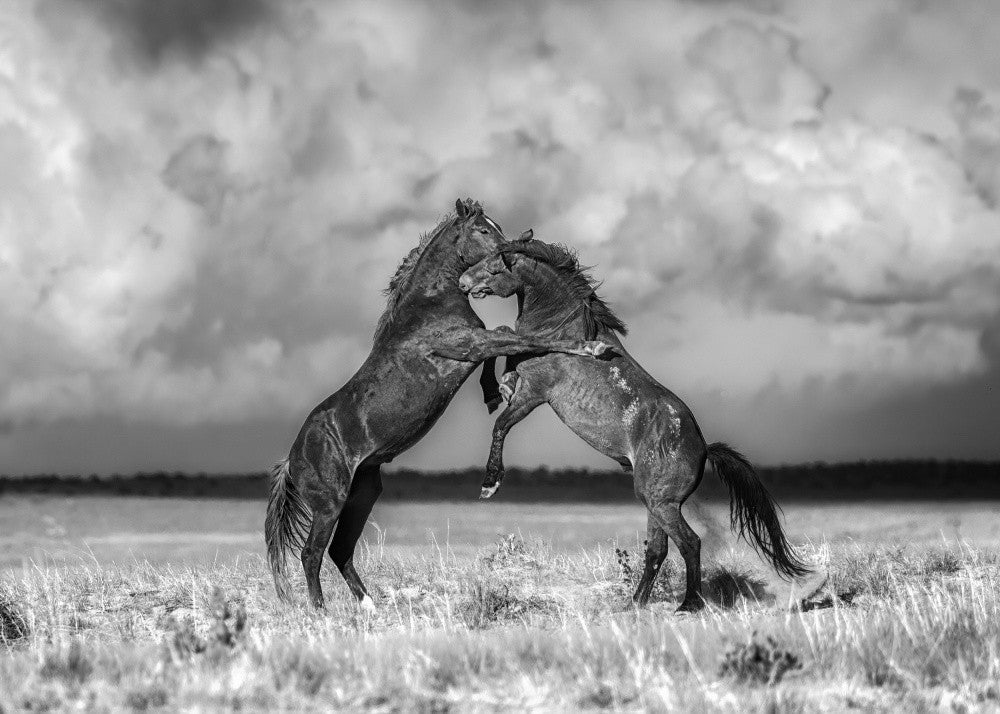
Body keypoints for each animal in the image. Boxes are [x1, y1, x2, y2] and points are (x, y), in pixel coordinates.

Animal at [265, 200, 610, 610]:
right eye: (482, 230)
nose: (512, 249)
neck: (430, 303)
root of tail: (292, 458)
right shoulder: (469, 344)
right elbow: (522, 338)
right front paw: (590, 347)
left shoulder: (474, 344)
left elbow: (506, 338)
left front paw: (497, 390)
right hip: (330, 502)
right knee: (311, 554)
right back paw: (321, 610)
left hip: (361, 496)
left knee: (340, 552)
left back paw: (369, 606)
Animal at [458, 234, 809, 611]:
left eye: (496, 266)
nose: (463, 282)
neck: (564, 329)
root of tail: (703, 449)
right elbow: (501, 339)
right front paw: (498, 388)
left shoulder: (536, 393)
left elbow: (501, 423)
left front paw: (490, 483)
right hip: (655, 502)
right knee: (658, 549)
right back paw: (635, 603)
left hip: (660, 503)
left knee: (689, 543)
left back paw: (688, 605)